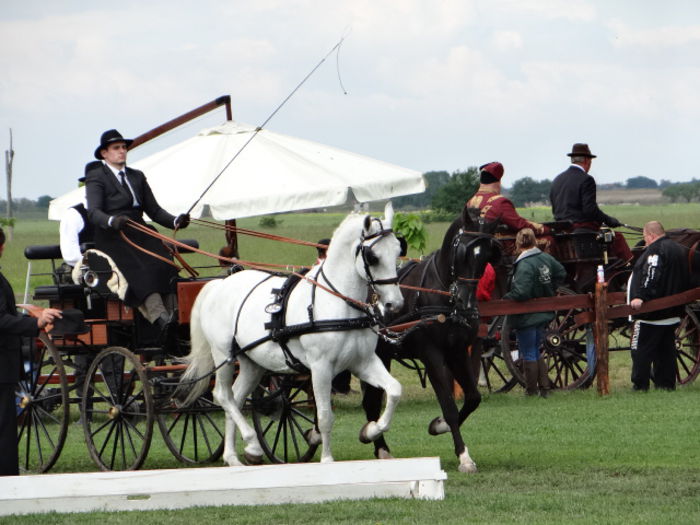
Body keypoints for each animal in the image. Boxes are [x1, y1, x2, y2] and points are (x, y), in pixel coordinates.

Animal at [174, 203, 402, 464]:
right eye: (373, 257)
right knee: (222, 395)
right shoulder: (321, 367)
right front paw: (327, 460)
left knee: (236, 398)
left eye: (398, 250)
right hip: (223, 355)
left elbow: (395, 390)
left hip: (252, 362)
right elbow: (325, 416)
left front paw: (371, 430)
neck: (336, 303)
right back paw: (252, 443)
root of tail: (219, 284)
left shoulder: (362, 362)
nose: (395, 305)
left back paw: (234, 456)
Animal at [360, 207, 498, 472]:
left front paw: (439, 425)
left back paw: (378, 444)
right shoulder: (432, 355)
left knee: (371, 401)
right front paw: (464, 457)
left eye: (487, 255)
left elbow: (473, 398)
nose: (465, 302)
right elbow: (449, 405)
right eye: (462, 251)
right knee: (367, 402)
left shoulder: (457, 351)